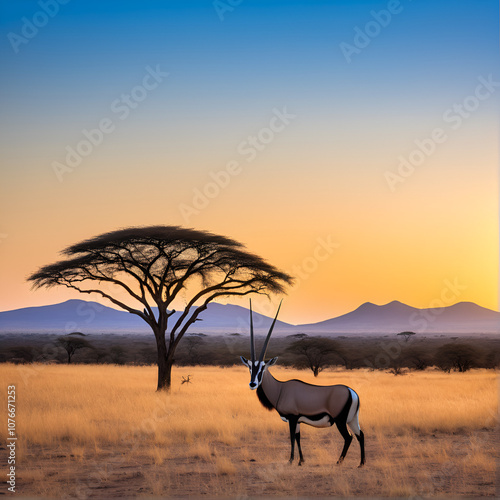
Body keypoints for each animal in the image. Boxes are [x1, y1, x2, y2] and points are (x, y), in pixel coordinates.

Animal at [240, 300, 366, 468]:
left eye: (262, 368)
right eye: (249, 368)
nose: (253, 383)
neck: (280, 389)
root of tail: (352, 392)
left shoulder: (292, 418)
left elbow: (292, 438)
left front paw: (290, 460)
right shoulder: (298, 420)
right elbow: (299, 438)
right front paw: (301, 461)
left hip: (340, 421)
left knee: (349, 437)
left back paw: (339, 462)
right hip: (352, 419)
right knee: (360, 435)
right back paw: (361, 463)